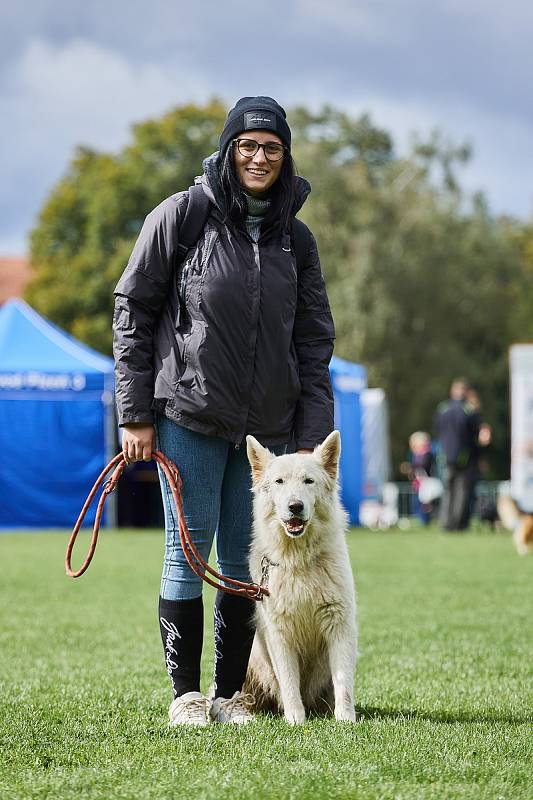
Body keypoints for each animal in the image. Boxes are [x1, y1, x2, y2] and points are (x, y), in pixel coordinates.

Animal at [243, 432, 356, 724]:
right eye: (279, 482)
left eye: (309, 481)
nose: (295, 506)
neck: (299, 560)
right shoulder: (279, 633)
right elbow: (288, 681)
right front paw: (295, 719)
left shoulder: (338, 624)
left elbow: (343, 680)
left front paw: (345, 719)